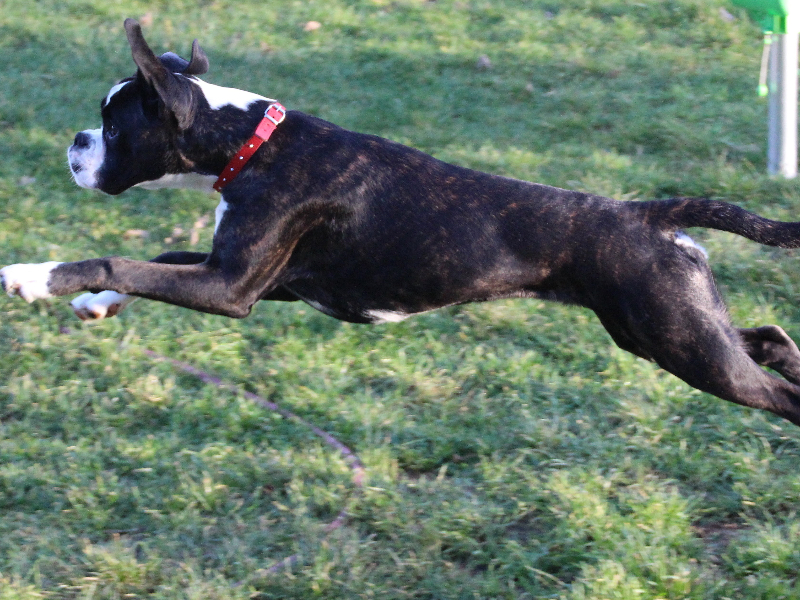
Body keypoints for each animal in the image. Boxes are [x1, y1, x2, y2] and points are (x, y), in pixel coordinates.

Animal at [3, 18, 800, 428]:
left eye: (114, 124)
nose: (75, 143)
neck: (252, 142)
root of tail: (650, 213)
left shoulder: (230, 290)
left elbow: (123, 258)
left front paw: (35, 277)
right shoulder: (259, 280)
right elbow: (158, 259)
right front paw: (94, 303)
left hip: (683, 346)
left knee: (777, 392)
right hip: (671, 330)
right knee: (767, 337)